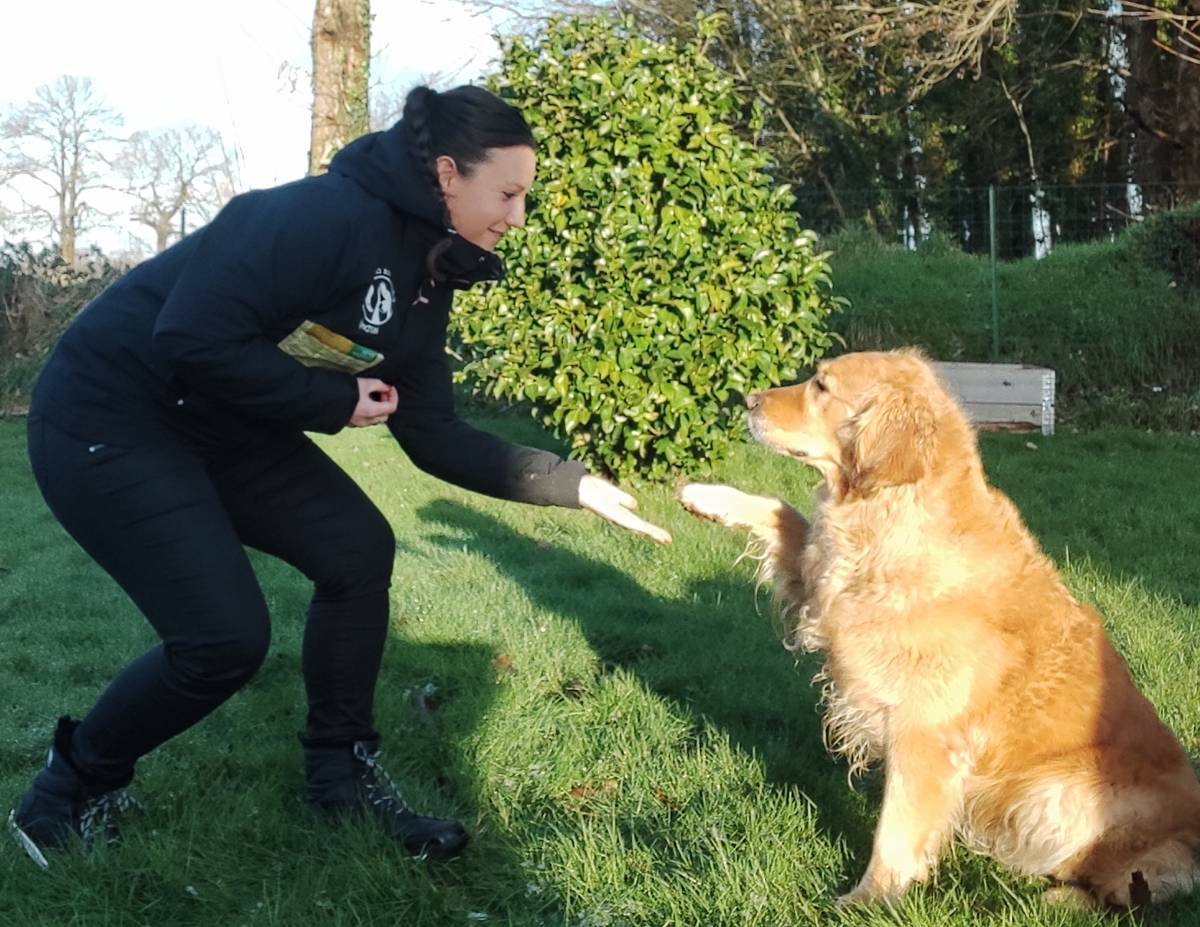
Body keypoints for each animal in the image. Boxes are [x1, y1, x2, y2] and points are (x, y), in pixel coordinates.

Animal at [681, 350, 1195, 907]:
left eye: (821, 386)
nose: (748, 400)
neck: (888, 512)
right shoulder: (821, 583)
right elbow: (782, 510)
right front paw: (706, 494)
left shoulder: (923, 731)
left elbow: (896, 829)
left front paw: (868, 901)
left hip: (1055, 792)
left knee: (1123, 883)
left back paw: (1052, 900)